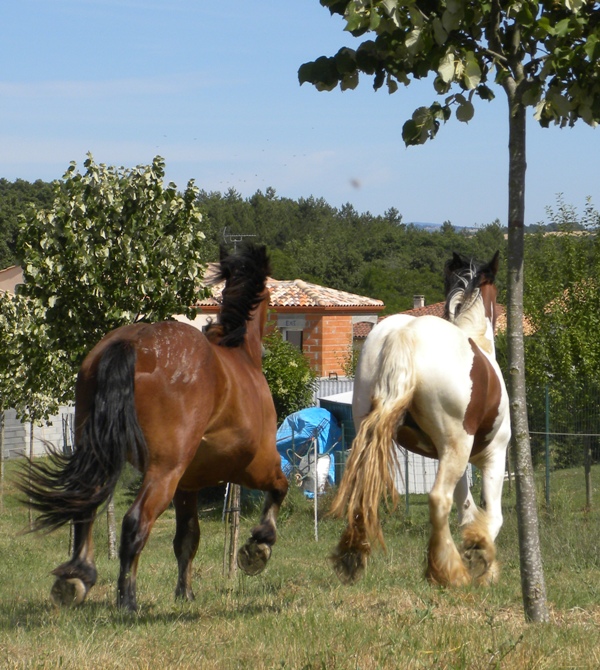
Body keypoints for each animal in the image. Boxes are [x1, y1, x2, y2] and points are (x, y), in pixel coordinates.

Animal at [19, 244, 288, 612]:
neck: (240, 356)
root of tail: (132, 343)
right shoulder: (253, 465)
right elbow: (281, 487)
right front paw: (258, 548)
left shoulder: (188, 484)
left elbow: (187, 538)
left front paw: (184, 593)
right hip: (164, 470)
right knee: (135, 521)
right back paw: (127, 599)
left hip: (102, 453)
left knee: (86, 507)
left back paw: (75, 578)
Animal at [330, 252, 508, 588]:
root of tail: (406, 334)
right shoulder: (492, 455)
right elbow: (491, 516)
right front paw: (481, 560)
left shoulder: (455, 460)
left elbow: (467, 510)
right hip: (457, 447)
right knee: (438, 499)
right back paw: (448, 572)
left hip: (368, 435)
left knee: (361, 493)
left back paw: (351, 560)